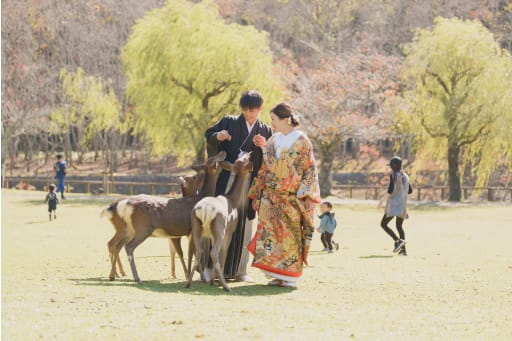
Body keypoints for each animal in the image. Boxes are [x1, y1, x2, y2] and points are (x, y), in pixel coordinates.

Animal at [102, 151, 226, 282]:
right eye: (216, 159)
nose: (223, 152)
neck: (200, 197)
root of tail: (125, 205)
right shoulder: (192, 230)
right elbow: (192, 253)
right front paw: (193, 277)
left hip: (129, 229)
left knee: (117, 246)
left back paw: (113, 275)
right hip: (143, 228)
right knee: (128, 247)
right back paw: (136, 278)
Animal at [186, 151, 254, 290]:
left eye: (240, 159)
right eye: (244, 159)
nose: (248, 152)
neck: (233, 200)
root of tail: (205, 210)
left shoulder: (211, 235)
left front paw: (212, 280)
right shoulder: (229, 231)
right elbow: (223, 252)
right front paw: (217, 280)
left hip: (196, 229)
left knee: (199, 251)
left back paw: (189, 283)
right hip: (219, 230)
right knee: (213, 252)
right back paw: (226, 287)